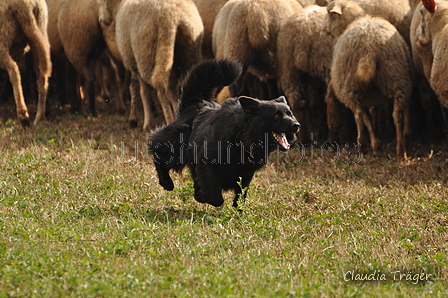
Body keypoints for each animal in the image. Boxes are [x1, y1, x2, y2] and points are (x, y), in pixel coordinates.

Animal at [99, 0, 203, 129]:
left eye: (101, 2)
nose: (100, 19)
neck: (119, 6)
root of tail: (172, 19)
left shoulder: (133, 61)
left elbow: (140, 90)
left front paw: (142, 121)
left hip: (147, 54)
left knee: (161, 91)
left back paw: (168, 120)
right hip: (187, 54)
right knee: (179, 87)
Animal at [149, 59, 300, 206]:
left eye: (290, 114)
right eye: (276, 115)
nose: (296, 125)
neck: (241, 137)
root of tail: (196, 104)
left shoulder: (246, 173)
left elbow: (240, 197)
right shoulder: (207, 163)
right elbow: (216, 198)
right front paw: (201, 196)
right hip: (177, 148)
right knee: (157, 152)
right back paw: (166, 182)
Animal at [328, 15, 412, 158]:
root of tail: (369, 50)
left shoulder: (366, 100)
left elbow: (368, 120)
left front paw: (374, 144)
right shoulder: (368, 99)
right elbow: (370, 118)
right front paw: (375, 143)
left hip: (352, 88)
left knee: (358, 115)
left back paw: (362, 145)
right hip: (395, 79)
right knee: (396, 115)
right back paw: (400, 149)